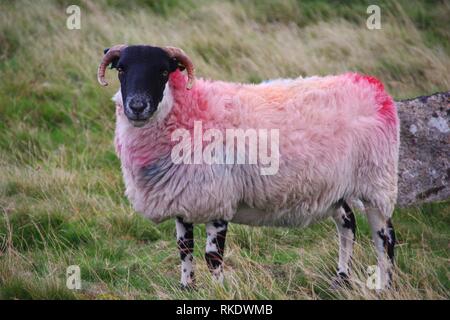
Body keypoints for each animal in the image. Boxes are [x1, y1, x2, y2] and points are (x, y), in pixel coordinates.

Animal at [97, 43, 398, 288]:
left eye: (162, 72)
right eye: (121, 69)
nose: (137, 106)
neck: (190, 110)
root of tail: (372, 85)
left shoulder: (218, 198)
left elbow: (212, 256)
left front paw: (219, 290)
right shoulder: (183, 198)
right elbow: (184, 249)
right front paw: (187, 287)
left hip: (377, 182)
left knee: (385, 237)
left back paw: (384, 286)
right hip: (335, 186)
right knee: (347, 225)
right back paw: (341, 279)